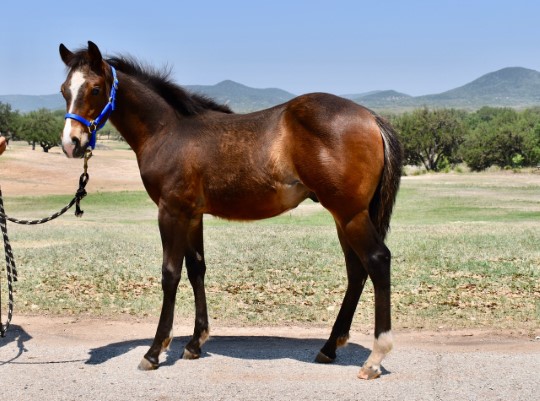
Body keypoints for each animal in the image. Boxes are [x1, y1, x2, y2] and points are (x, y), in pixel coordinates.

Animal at [60, 41, 404, 378]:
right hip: (344, 216)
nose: (71, 143)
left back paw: (374, 359)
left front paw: (154, 352)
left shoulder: (171, 212)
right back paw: (330, 348)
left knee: (377, 260)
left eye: (95, 89)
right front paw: (195, 344)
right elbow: (196, 269)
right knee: (356, 270)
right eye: (64, 89)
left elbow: (170, 274)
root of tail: (372, 118)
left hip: (350, 214)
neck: (167, 131)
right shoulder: (192, 215)